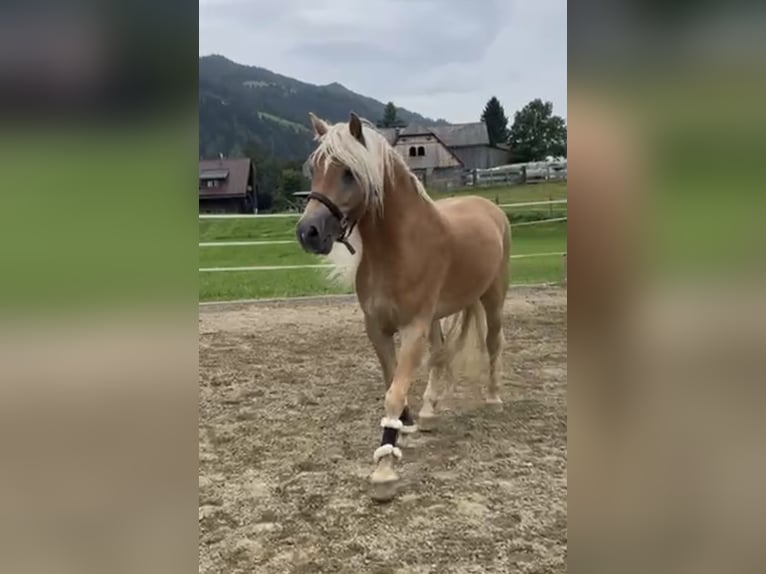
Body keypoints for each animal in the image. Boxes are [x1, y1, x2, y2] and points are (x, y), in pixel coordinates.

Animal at [296, 112, 512, 504]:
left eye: (348, 172)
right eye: (315, 168)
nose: (309, 232)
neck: (398, 249)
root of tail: (489, 207)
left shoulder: (413, 327)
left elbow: (394, 392)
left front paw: (384, 470)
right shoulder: (377, 328)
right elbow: (392, 378)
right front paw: (406, 426)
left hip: (493, 298)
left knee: (492, 343)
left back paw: (493, 399)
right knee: (441, 354)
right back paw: (429, 411)